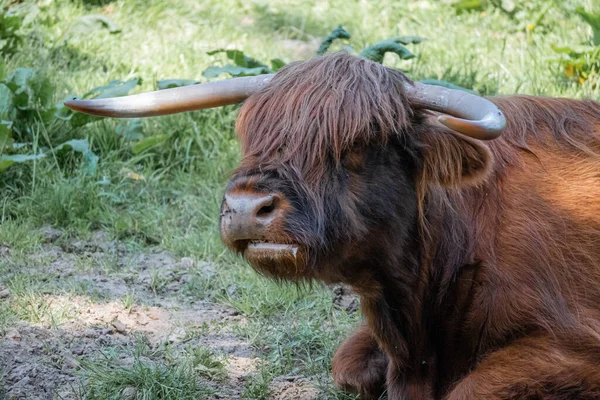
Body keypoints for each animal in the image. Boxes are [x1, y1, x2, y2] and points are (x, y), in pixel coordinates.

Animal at [65, 51, 600, 398]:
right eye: (250, 134)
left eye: (358, 143)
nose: (245, 208)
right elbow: (347, 365)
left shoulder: (573, 348)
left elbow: (472, 390)